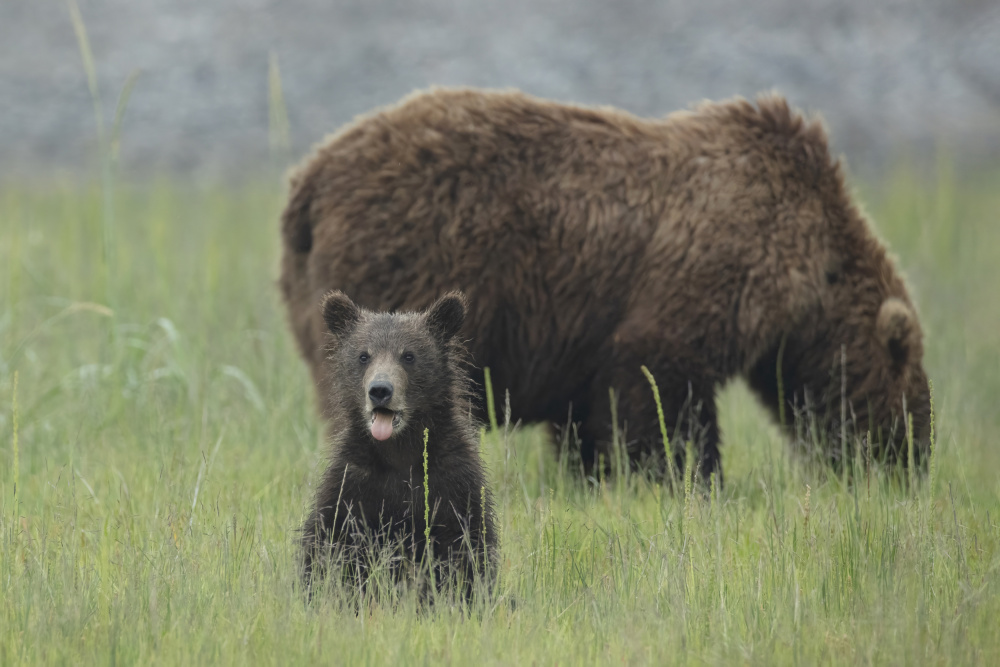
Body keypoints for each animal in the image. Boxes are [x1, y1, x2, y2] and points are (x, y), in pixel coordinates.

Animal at [279, 87, 931, 483]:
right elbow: (661, 385)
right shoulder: (702, 272)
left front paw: (594, 474)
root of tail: (309, 177)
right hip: (387, 259)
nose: (914, 467)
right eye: (913, 401)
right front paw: (689, 475)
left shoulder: (578, 343)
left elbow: (589, 417)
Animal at [299, 290, 497, 600]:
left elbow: (465, 548)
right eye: (363, 355)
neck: (400, 450)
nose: (380, 390)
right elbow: (330, 544)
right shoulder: (354, 480)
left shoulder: (453, 480)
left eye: (409, 355)